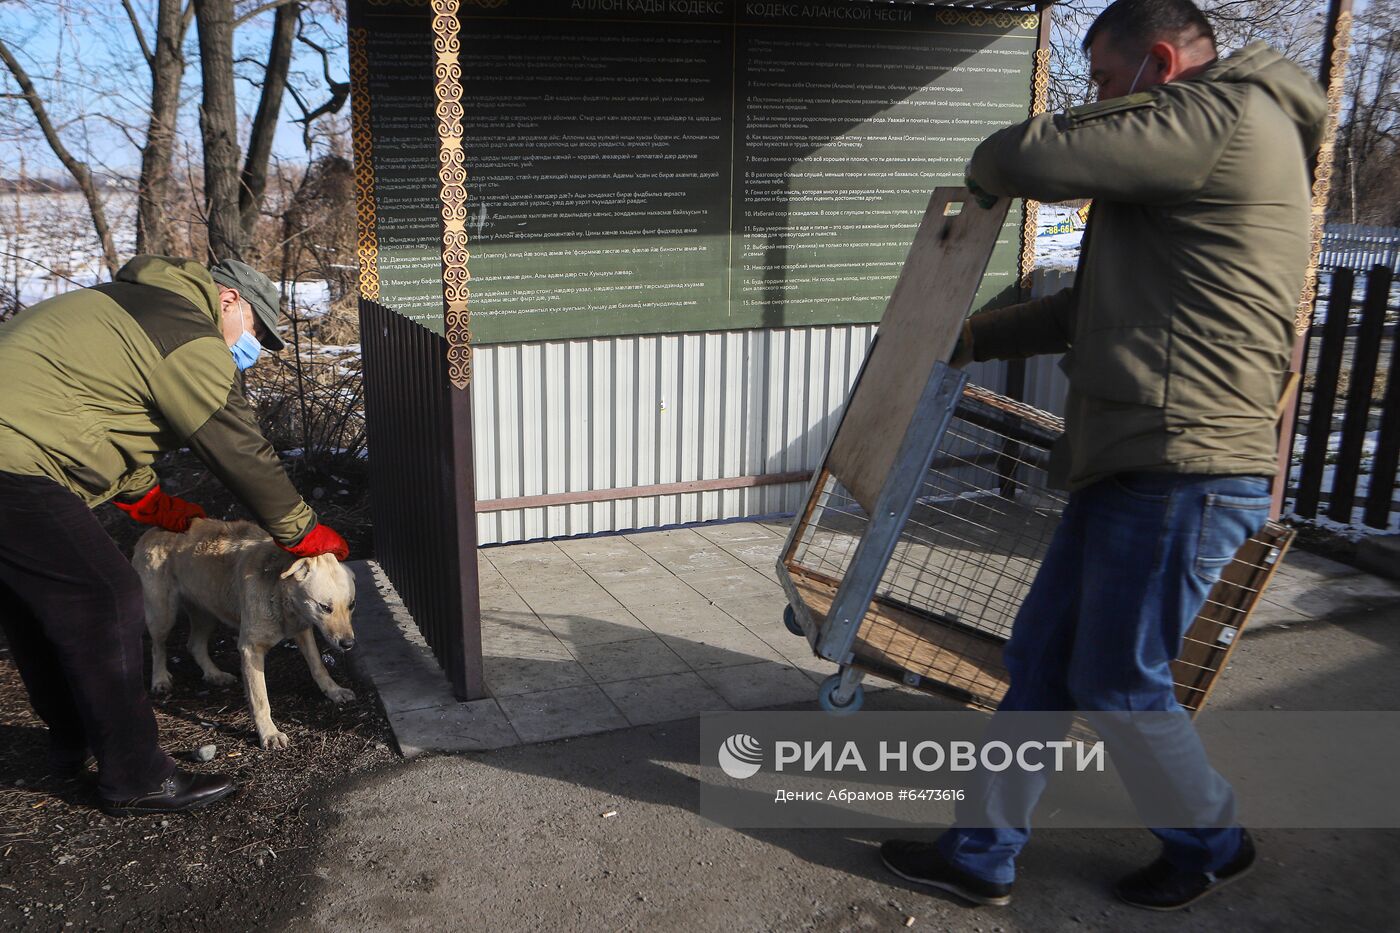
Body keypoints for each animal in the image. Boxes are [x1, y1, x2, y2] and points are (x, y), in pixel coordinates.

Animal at [134, 515, 358, 750]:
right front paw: (269, 734)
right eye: (325, 607)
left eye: (351, 605)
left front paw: (334, 691)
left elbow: (318, 666)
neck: (279, 593)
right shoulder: (251, 649)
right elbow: (260, 699)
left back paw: (214, 674)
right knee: (157, 646)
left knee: (194, 645)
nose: (348, 644)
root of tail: (150, 531)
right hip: (163, 614)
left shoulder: (303, 630)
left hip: (207, 613)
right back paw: (160, 679)